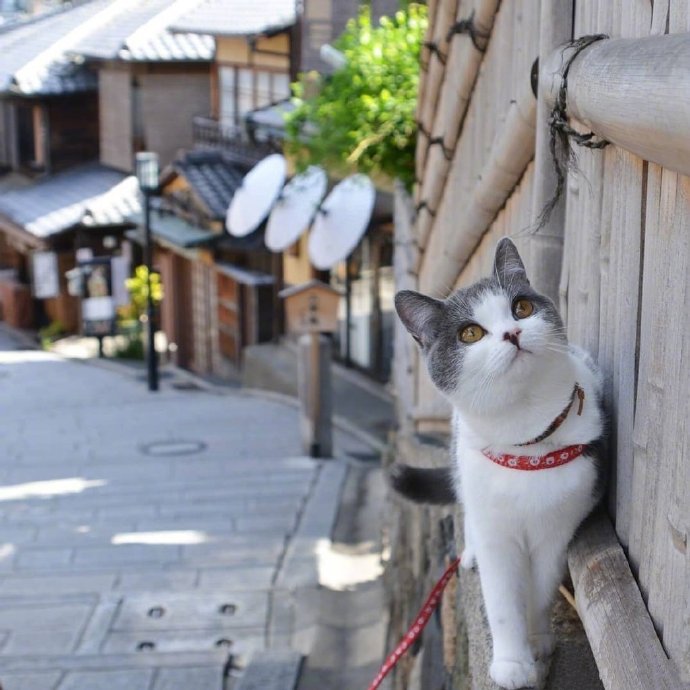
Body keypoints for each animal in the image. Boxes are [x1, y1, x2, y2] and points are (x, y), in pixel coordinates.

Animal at [392, 238, 600, 688]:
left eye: (521, 307)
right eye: (470, 333)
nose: (513, 332)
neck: (525, 443)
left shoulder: (556, 531)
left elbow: (540, 590)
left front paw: (538, 641)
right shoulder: (496, 531)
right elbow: (502, 599)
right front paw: (512, 663)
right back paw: (468, 554)